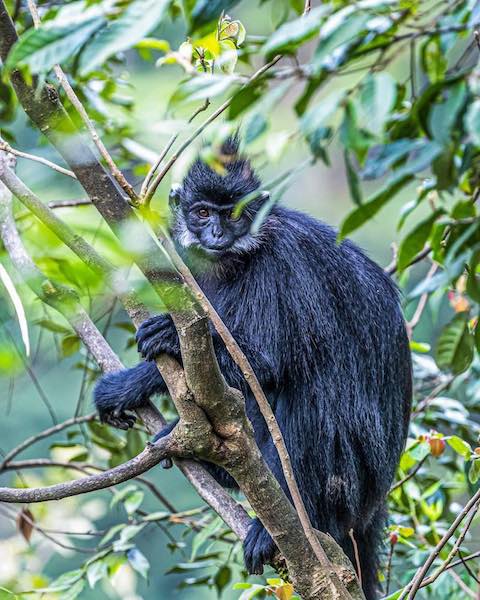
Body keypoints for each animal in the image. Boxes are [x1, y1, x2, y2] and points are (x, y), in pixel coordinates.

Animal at [94, 136, 412, 600]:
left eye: (233, 214)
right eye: (202, 212)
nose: (216, 234)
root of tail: (370, 509)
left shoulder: (285, 262)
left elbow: (260, 365)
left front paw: (137, 372)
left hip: (350, 481)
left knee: (311, 396)